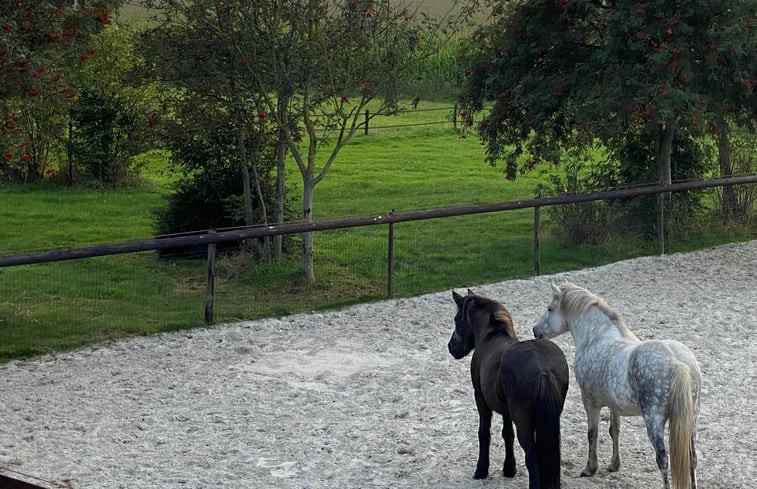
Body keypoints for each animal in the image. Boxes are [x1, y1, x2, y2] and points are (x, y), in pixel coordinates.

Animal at [448, 290, 568, 488]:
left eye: (457, 319)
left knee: (532, 457)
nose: (451, 347)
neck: (491, 336)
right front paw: (509, 469)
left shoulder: (480, 398)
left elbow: (484, 432)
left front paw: (481, 470)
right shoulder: (506, 410)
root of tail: (542, 369)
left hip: (524, 423)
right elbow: (507, 434)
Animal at [532, 282, 696, 488]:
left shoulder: (590, 402)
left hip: (654, 421)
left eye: (550, 309)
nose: (535, 330)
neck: (597, 336)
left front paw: (590, 468)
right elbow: (614, 431)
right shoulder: (614, 405)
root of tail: (677, 363)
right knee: (691, 458)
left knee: (663, 459)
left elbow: (592, 433)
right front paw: (614, 465)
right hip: (690, 420)